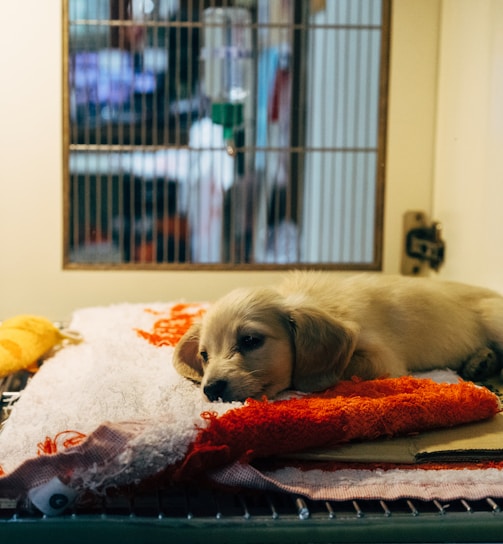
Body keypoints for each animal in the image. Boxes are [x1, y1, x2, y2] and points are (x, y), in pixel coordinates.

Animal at [173, 272, 503, 404]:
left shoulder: (383, 359)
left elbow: (341, 368)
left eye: (251, 340)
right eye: (204, 355)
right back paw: (480, 362)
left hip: (494, 319)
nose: (211, 389)